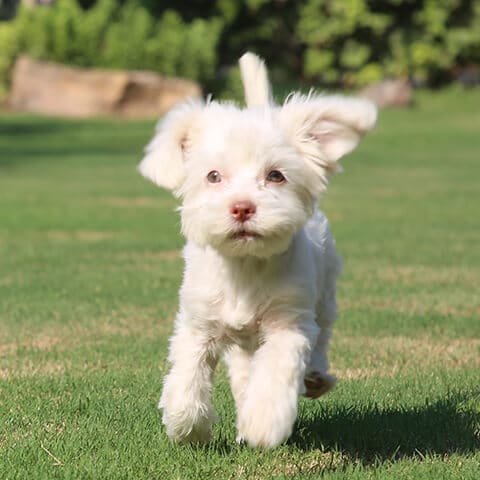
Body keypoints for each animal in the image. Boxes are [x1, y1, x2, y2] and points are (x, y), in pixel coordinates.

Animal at [137, 54, 376, 448]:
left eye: (276, 175)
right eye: (213, 176)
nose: (242, 207)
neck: (245, 267)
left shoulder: (288, 323)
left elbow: (276, 374)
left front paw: (263, 423)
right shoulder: (198, 322)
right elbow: (187, 374)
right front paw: (188, 426)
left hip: (324, 295)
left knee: (322, 335)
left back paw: (316, 376)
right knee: (244, 368)